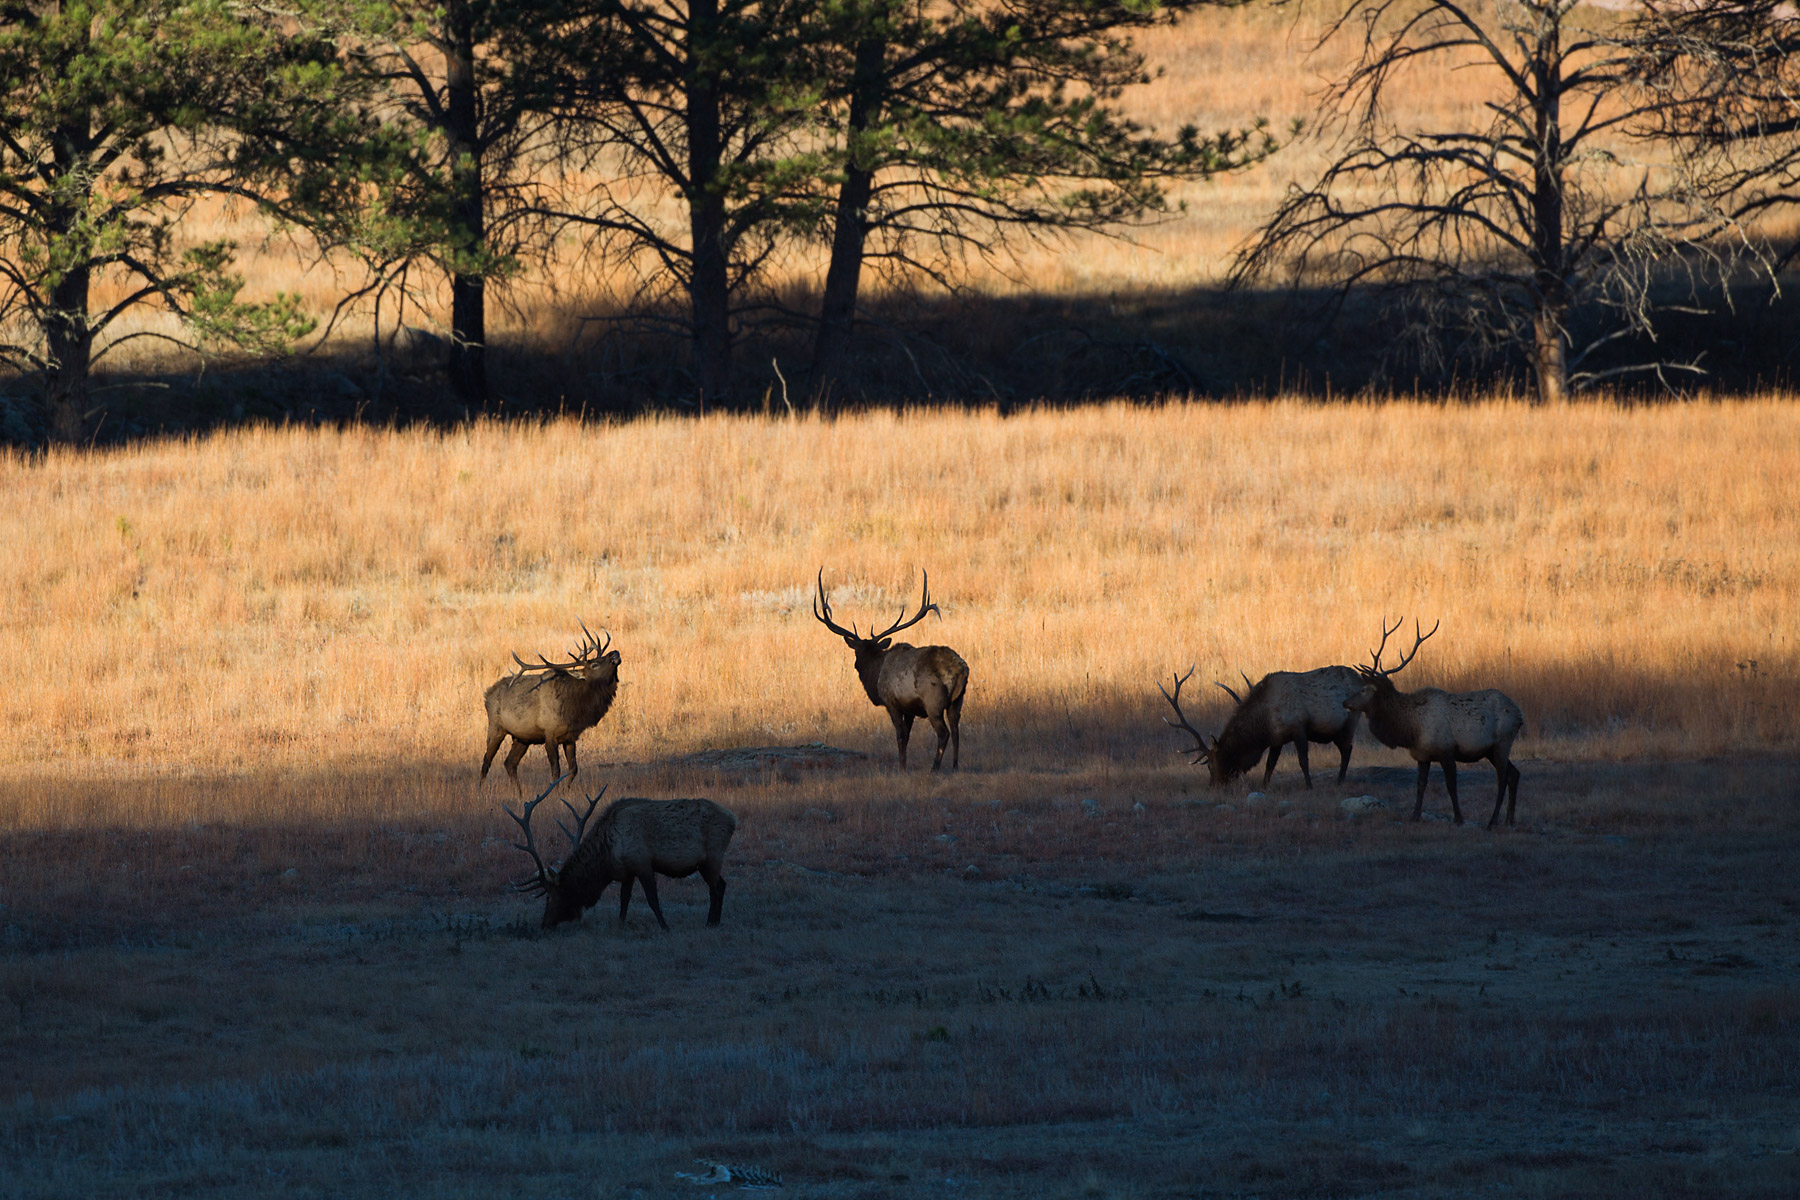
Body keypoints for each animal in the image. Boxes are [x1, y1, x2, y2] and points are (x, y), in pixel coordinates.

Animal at [482, 626, 622, 791]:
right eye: (594, 665)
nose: (615, 653)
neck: (576, 709)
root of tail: (487, 694)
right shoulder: (549, 733)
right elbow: (556, 770)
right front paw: (554, 792)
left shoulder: (570, 737)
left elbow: (573, 769)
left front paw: (565, 791)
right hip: (496, 727)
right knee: (486, 761)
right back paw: (481, 791)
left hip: (522, 737)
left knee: (509, 763)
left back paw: (519, 793)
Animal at [500, 773, 738, 935]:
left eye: (551, 896)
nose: (544, 924)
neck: (607, 857)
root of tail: (733, 819)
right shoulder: (627, 871)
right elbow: (624, 899)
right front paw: (621, 923)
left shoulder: (642, 862)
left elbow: (652, 899)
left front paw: (665, 926)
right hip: (708, 861)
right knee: (722, 885)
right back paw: (714, 921)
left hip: (712, 856)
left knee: (717, 887)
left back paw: (711, 922)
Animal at [817, 572, 972, 773]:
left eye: (857, 653)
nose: (856, 665)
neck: (875, 675)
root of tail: (960, 669)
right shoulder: (910, 708)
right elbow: (907, 737)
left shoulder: (892, 702)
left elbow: (900, 736)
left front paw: (901, 768)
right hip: (957, 701)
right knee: (956, 731)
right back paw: (954, 766)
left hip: (933, 701)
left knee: (943, 732)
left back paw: (934, 767)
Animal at [1159, 665, 1368, 788]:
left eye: (1210, 765)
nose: (1213, 786)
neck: (1264, 725)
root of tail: (1360, 678)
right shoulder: (1277, 739)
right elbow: (1270, 764)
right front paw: (1264, 786)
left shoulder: (1298, 728)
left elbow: (1303, 761)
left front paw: (1309, 786)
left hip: (1350, 721)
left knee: (1347, 750)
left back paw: (1340, 781)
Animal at [1346, 618, 1526, 827]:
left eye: (1364, 689)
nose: (1345, 702)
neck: (1411, 730)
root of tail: (1520, 714)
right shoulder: (1422, 755)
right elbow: (1420, 785)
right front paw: (1414, 816)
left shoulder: (1446, 751)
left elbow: (1451, 786)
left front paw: (1458, 818)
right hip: (1491, 750)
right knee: (1514, 774)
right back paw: (1509, 820)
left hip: (1502, 743)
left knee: (1502, 778)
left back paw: (1492, 821)